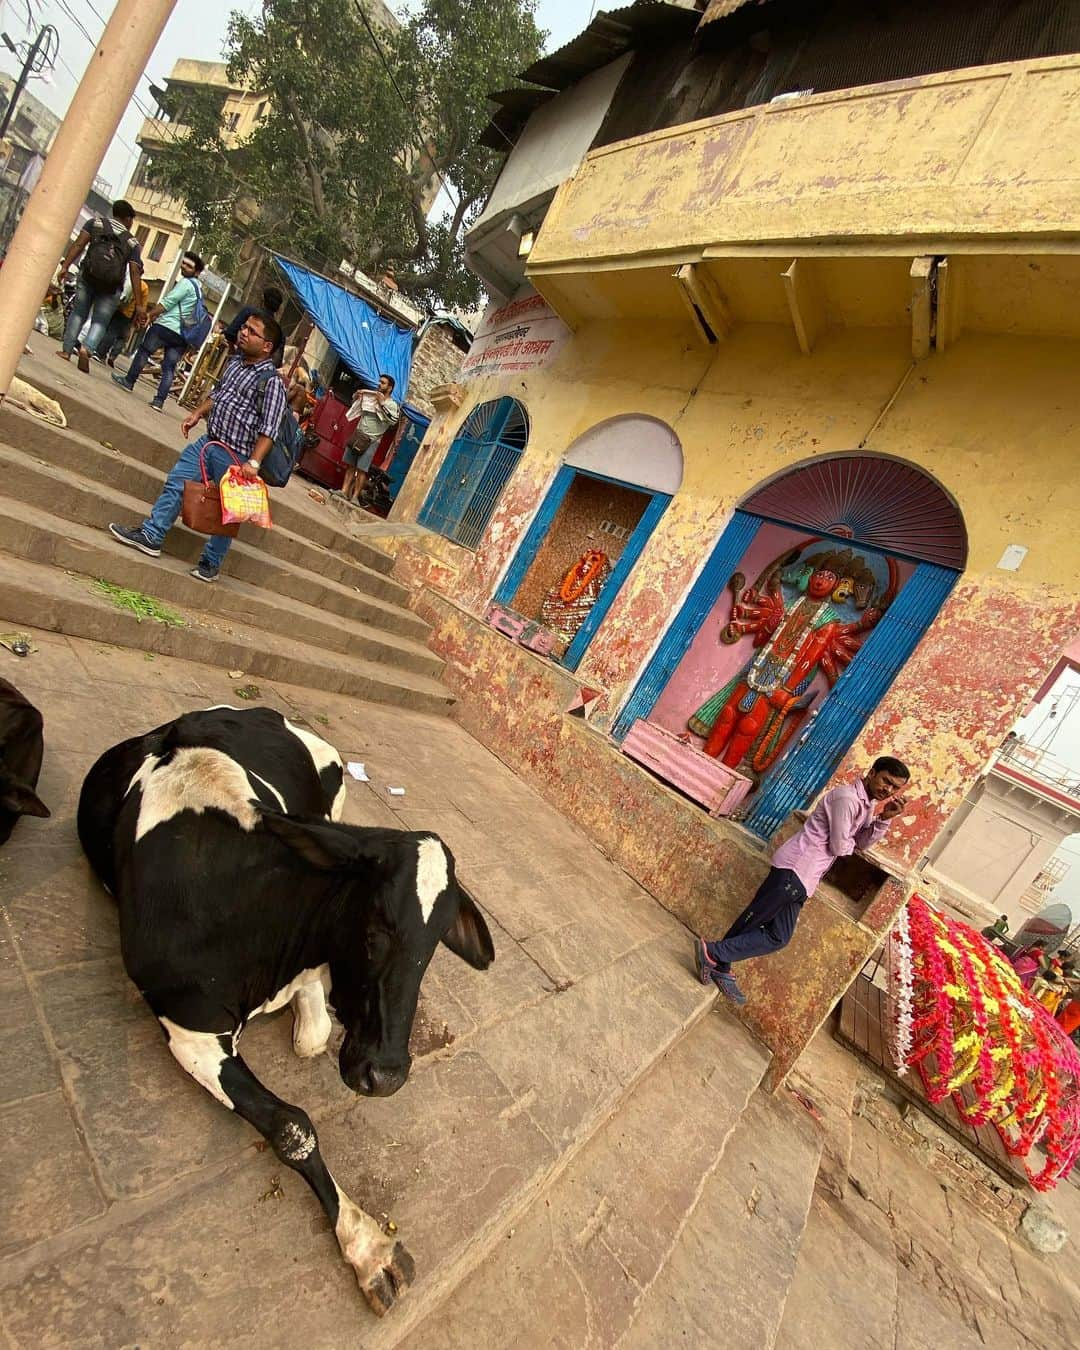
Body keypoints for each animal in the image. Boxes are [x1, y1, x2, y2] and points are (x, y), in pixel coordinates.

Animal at [76, 707, 496, 1317]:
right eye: (375, 927)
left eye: (436, 944)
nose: (387, 1074)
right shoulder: (189, 1029)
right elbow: (293, 1125)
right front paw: (366, 1245)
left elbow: (311, 1036)